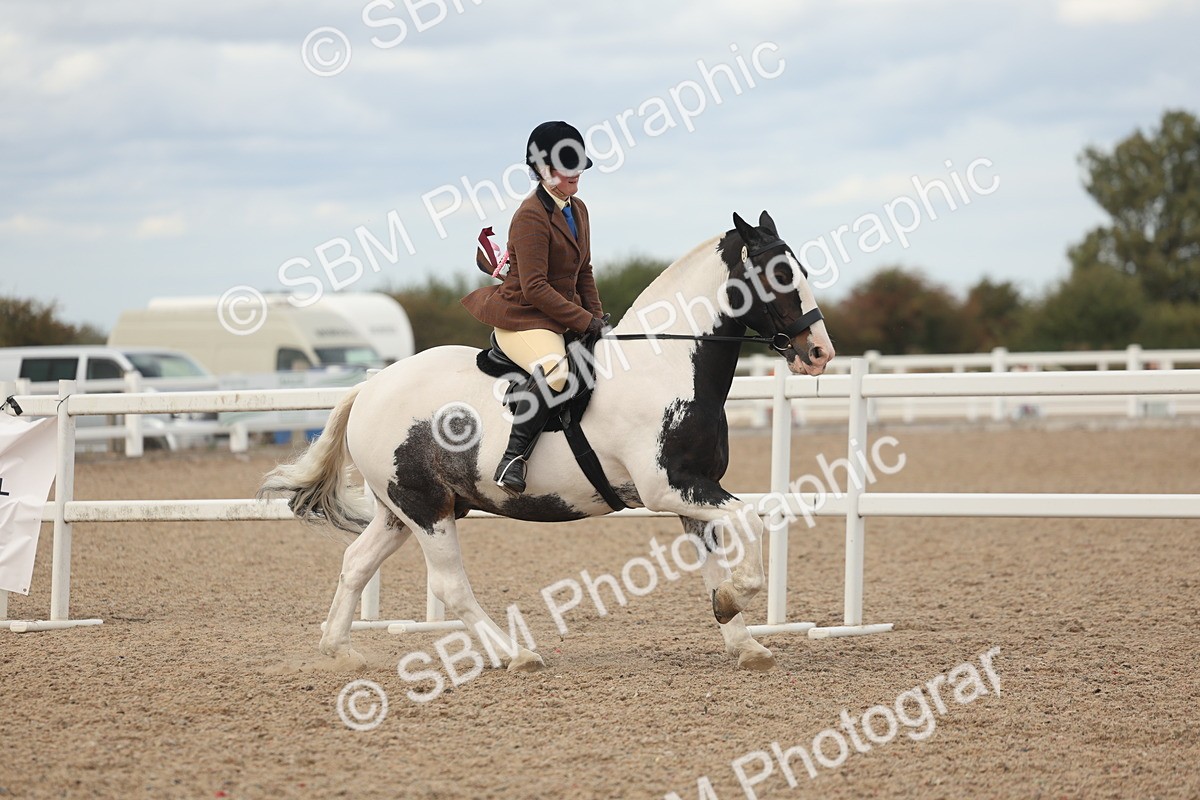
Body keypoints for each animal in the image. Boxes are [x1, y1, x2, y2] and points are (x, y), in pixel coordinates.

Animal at [260, 211, 835, 672]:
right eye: (781, 274)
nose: (819, 353)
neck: (666, 364)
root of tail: (370, 387)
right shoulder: (668, 488)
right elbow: (749, 519)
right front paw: (736, 601)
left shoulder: (694, 490)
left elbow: (714, 561)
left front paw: (741, 637)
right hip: (425, 509)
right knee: (450, 586)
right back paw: (516, 655)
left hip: (402, 508)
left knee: (357, 562)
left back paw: (340, 652)